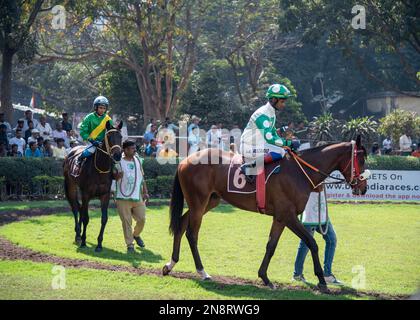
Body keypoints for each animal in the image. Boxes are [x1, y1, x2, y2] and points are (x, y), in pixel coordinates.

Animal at [63, 121, 123, 251]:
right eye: (109, 137)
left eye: (121, 137)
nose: (117, 155)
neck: (100, 168)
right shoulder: (86, 193)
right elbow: (86, 218)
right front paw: (84, 241)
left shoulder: (105, 195)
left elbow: (104, 219)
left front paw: (99, 244)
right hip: (70, 185)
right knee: (75, 208)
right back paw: (78, 235)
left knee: (80, 208)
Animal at [162, 135, 370, 292]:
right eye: (360, 159)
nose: (364, 187)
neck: (300, 172)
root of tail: (185, 160)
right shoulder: (288, 215)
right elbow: (312, 243)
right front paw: (321, 280)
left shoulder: (280, 217)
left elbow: (271, 245)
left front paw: (264, 277)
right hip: (198, 203)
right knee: (192, 234)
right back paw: (202, 271)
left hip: (208, 202)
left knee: (181, 225)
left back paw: (170, 264)